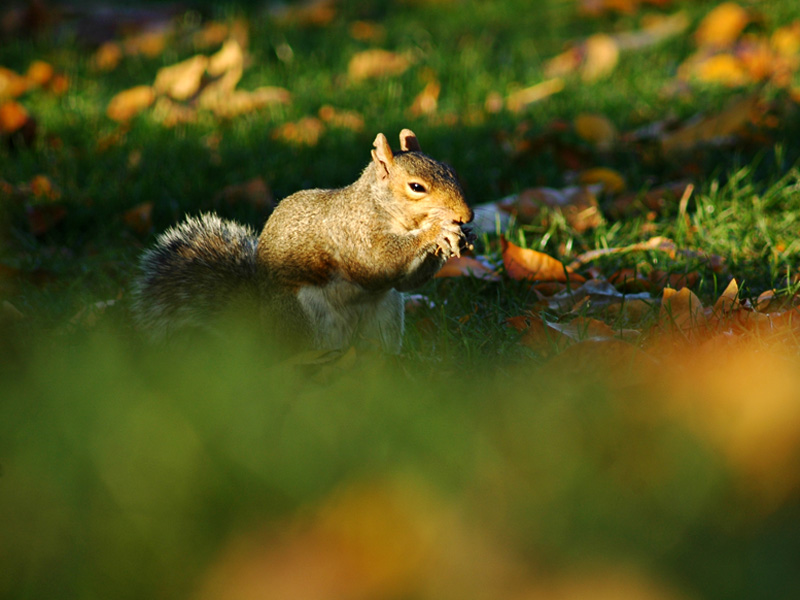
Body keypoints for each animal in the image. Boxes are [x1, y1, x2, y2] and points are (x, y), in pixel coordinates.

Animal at [131, 126, 476, 352]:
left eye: (450, 170)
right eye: (416, 187)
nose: (467, 215)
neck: (386, 211)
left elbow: (405, 282)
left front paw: (458, 237)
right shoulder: (351, 234)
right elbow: (378, 262)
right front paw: (437, 231)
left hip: (385, 321)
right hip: (303, 321)